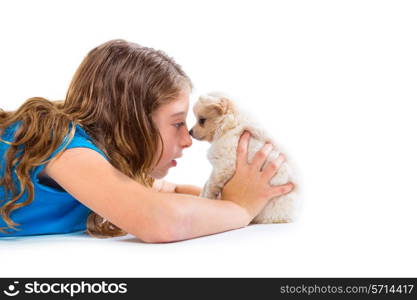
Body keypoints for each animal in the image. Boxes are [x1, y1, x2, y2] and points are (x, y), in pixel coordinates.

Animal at [188, 91, 300, 223]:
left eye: (202, 120)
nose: (189, 132)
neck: (231, 126)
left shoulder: (225, 165)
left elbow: (211, 184)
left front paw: (207, 199)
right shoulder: (218, 167)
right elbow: (207, 183)